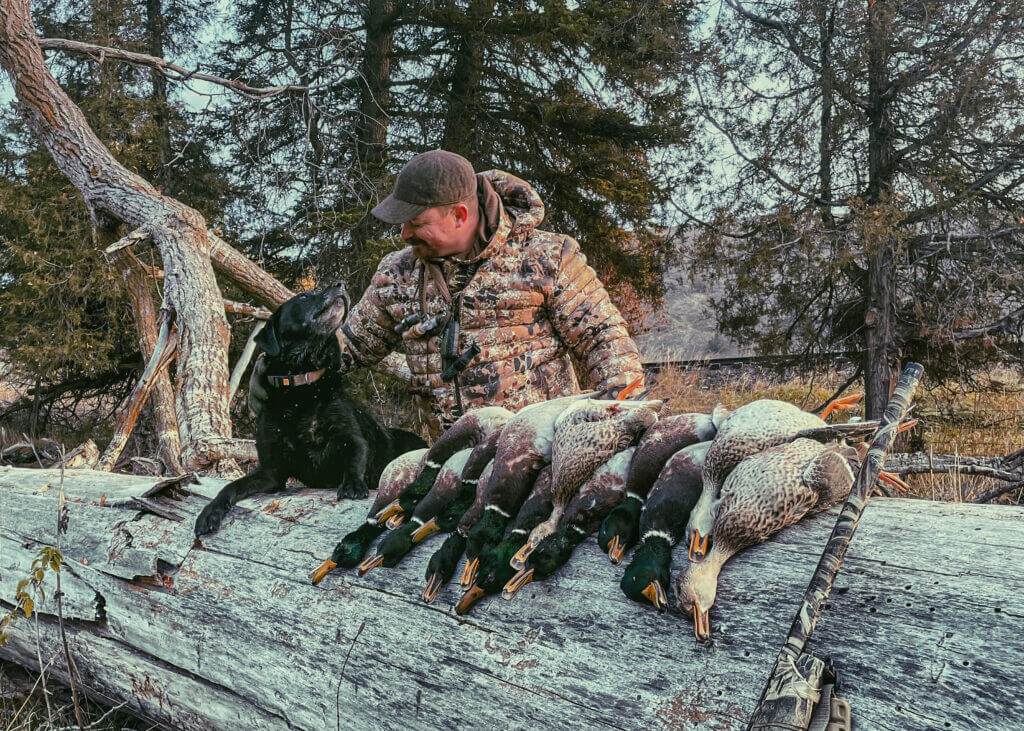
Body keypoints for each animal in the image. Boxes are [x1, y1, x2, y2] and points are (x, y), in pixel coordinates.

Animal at [195, 282, 423, 536]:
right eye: (304, 297)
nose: (340, 284)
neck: (300, 388)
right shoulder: (271, 471)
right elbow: (232, 486)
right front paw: (210, 512)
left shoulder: (351, 438)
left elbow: (355, 458)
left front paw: (353, 485)